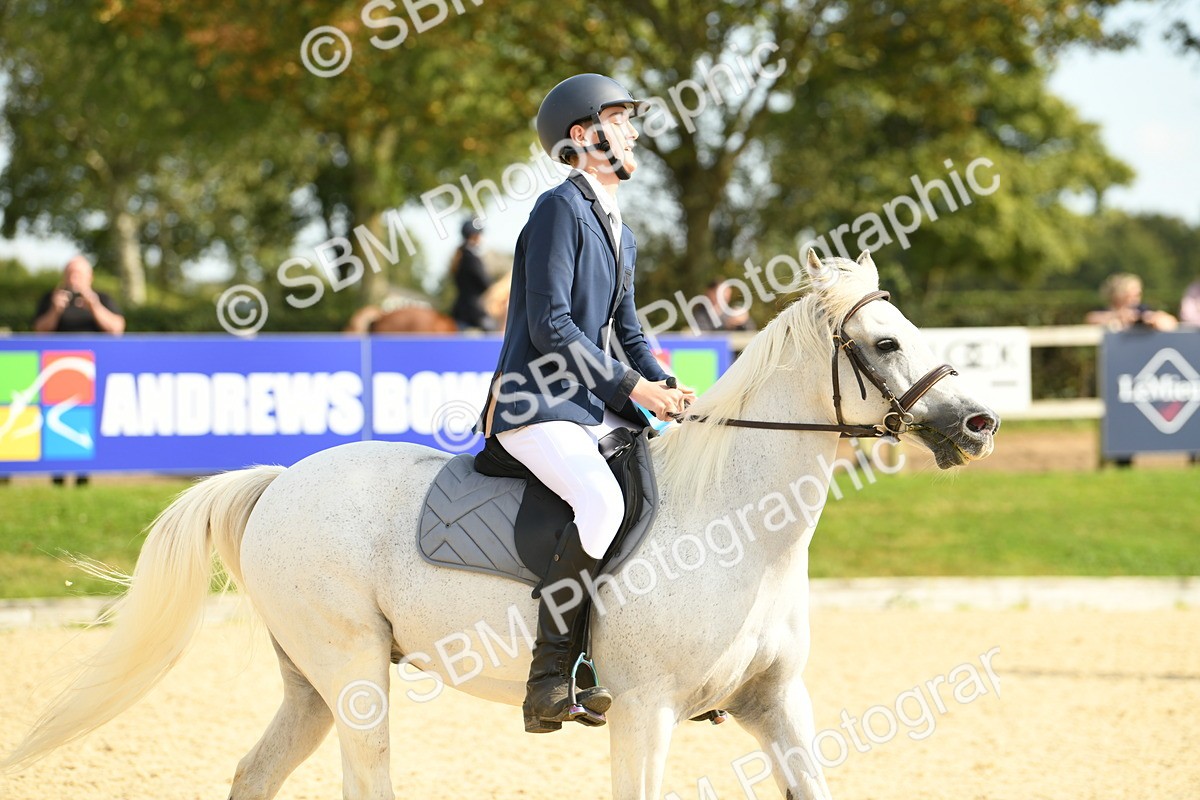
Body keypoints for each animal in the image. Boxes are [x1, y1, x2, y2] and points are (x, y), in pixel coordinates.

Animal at [2, 251, 998, 799]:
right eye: (884, 344)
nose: (980, 423)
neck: (743, 528)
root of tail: (280, 482)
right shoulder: (644, 713)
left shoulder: (775, 705)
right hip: (351, 672)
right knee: (366, 780)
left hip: (311, 684)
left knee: (256, 775)